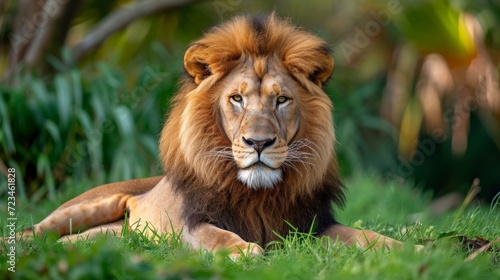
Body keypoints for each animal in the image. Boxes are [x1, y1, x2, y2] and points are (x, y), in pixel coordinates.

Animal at [18, 14, 418, 258]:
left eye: (282, 100)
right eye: (236, 99)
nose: (259, 143)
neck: (259, 196)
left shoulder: (312, 227)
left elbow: (368, 237)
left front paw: (417, 250)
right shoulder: (191, 225)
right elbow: (217, 235)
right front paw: (246, 252)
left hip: (108, 235)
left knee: (78, 241)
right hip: (83, 208)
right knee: (37, 229)